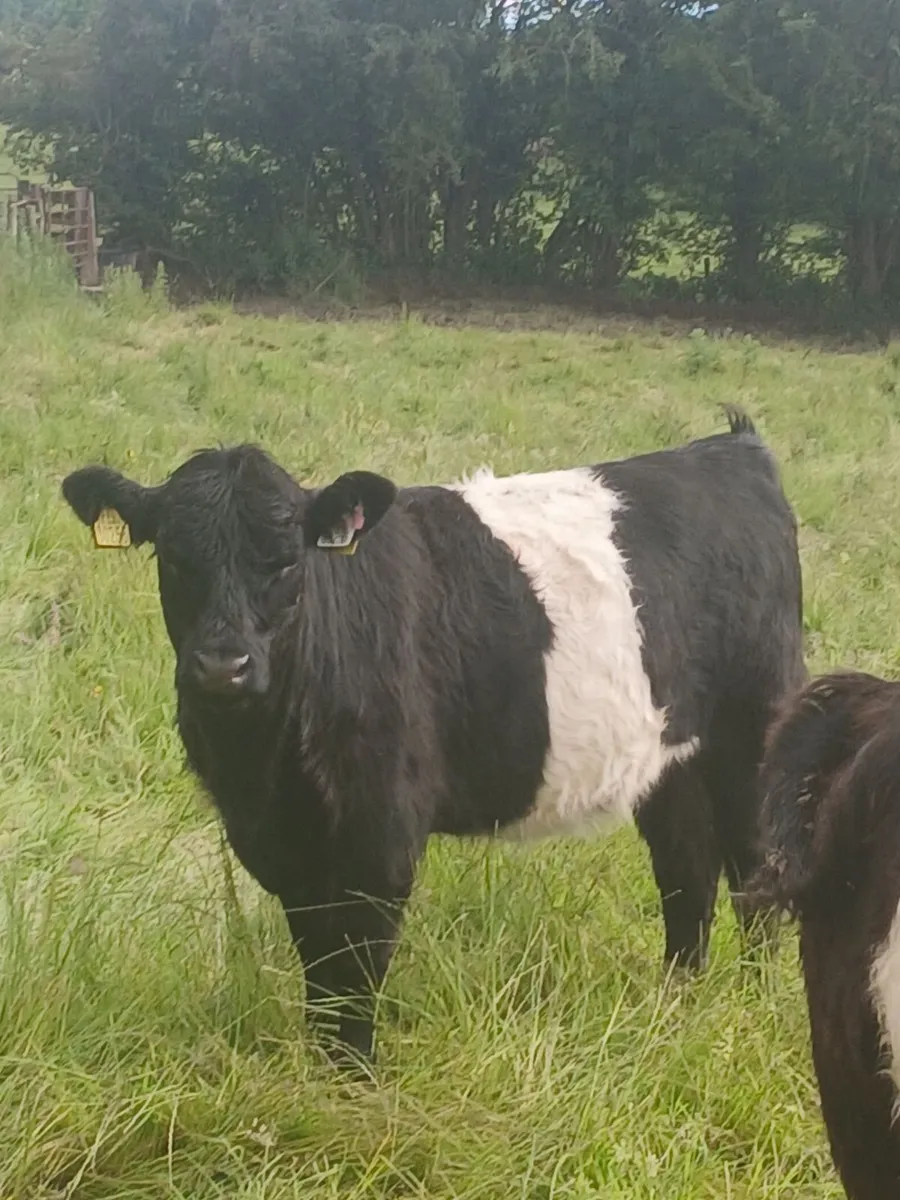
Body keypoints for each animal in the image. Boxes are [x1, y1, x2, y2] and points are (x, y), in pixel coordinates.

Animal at [61, 407, 805, 1066]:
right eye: (172, 558)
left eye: (285, 562)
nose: (223, 665)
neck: (264, 768)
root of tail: (730, 448)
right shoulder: (288, 850)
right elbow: (320, 969)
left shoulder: (380, 840)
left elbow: (356, 973)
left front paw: (351, 1084)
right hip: (671, 756)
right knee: (687, 871)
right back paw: (676, 1006)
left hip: (753, 732)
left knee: (754, 874)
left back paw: (750, 1004)